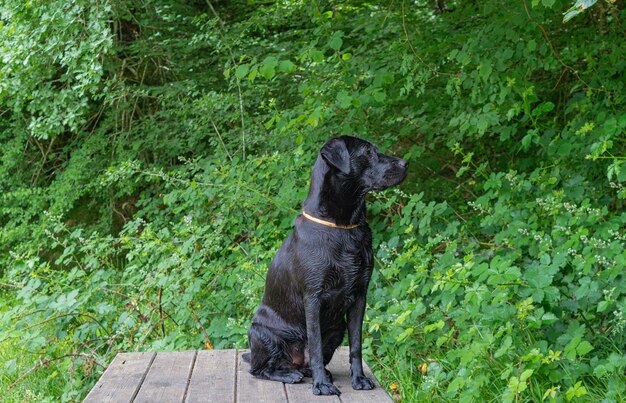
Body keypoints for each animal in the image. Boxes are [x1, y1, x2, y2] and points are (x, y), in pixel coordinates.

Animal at [241, 137, 408, 396]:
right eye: (368, 152)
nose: (405, 163)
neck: (343, 227)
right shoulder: (313, 298)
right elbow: (316, 347)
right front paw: (321, 386)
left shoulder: (360, 296)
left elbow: (356, 345)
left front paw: (359, 379)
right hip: (262, 334)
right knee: (260, 370)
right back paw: (290, 374)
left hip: (337, 330)